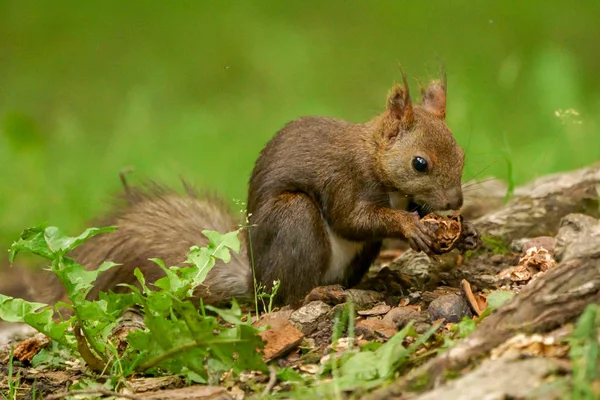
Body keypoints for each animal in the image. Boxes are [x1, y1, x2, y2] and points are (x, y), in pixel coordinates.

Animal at [22, 72, 478, 310]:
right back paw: (318, 291)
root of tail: (256, 280)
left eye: (461, 152)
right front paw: (411, 226)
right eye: (420, 163)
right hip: (294, 219)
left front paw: (465, 232)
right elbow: (353, 218)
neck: (374, 157)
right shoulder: (344, 180)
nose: (455, 202)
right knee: (288, 297)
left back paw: (380, 282)